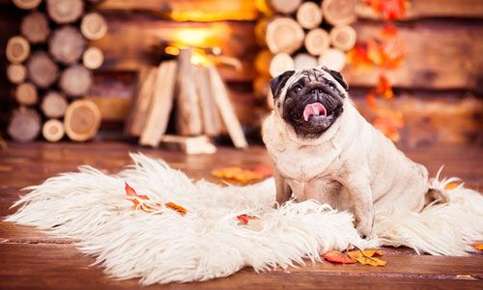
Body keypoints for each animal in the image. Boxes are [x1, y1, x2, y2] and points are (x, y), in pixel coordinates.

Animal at [264, 67, 434, 237]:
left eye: (330, 86)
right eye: (297, 88)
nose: (316, 89)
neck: (306, 143)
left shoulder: (356, 179)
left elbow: (364, 210)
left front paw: (362, 234)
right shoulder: (279, 176)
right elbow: (280, 197)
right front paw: (275, 213)